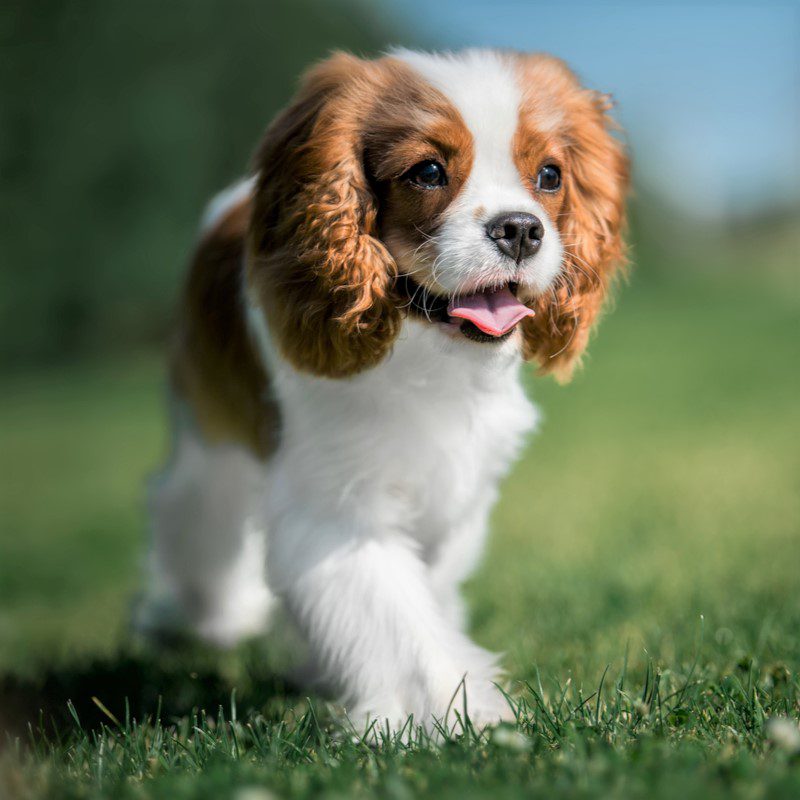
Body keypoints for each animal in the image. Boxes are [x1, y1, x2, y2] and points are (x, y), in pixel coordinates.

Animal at [138, 45, 628, 732]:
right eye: (428, 171)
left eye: (551, 175)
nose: (520, 229)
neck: (425, 355)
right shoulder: (337, 506)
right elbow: (396, 619)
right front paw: (457, 714)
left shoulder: (456, 493)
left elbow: (418, 595)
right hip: (208, 438)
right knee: (193, 511)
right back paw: (212, 614)